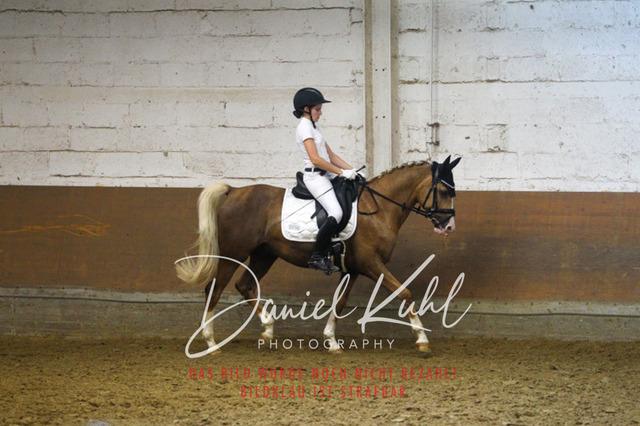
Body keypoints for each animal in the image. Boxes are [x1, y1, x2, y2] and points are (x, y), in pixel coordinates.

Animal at [176, 156, 461, 354]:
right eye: (444, 191)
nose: (449, 227)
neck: (379, 208)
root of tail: (234, 191)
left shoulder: (352, 270)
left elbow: (340, 302)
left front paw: (331, 342)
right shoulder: (371, 264)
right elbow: (405, 292)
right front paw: (422, 339)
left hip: (264, 255)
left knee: (244, 286)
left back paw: (267, 331)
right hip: (234, 253)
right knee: (215, 289)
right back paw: (212, 343)